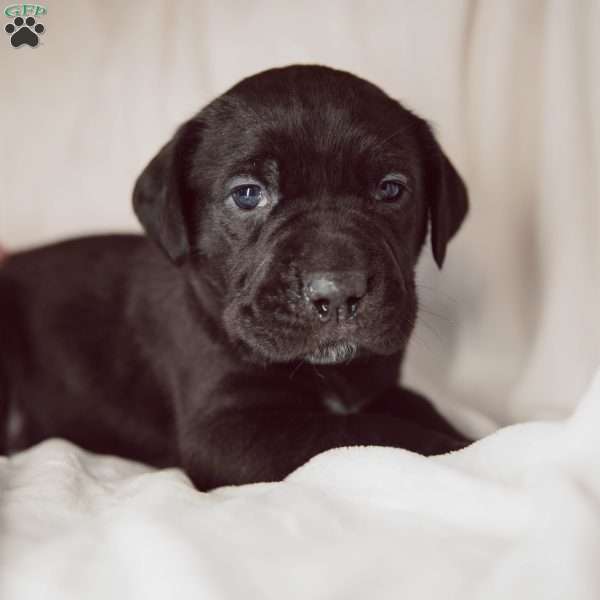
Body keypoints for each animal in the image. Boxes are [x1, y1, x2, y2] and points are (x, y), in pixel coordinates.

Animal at [0, 65, 468, 490]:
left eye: (390, 189)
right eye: (247, 194)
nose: (337, 293)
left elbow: (413, 403)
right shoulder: (228, 432)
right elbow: (362, 432)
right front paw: (455, 449)